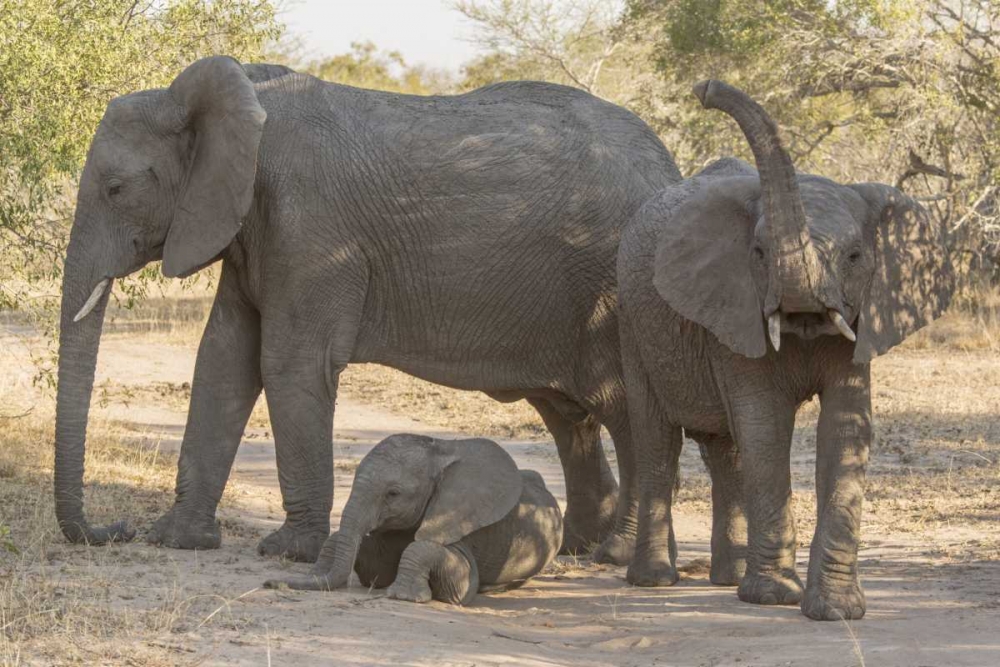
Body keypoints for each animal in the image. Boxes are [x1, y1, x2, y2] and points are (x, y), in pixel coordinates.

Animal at [52, 56, 680, 564]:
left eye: (114, 189)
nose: (114, 529)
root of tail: (671, 167)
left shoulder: (310, 229)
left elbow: (287, 364)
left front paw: (287, 552)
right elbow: (223, 360)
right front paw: (177, 540)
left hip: (614, 288)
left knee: (624, 409)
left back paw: (620, 556)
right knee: (568, 414)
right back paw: (579, 549)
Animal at [264, 434, 564, 604]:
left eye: (393, 494)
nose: (270, 583)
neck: (441, 452)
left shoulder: (462, 521)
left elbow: (461, 579)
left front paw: (404, 597)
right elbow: (378, 568)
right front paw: (316, 574)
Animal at [620, 82, 956, 620]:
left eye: (855, 257)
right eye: (758, 254)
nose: (705, 89)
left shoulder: (861, 320)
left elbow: (845, 428)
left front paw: (836, 611)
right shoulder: (734, 303)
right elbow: (766, 426)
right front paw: (776, 597)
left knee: (726, 450)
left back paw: (729, 578)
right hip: (631, 319)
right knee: (657, 440)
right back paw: (654, 581)